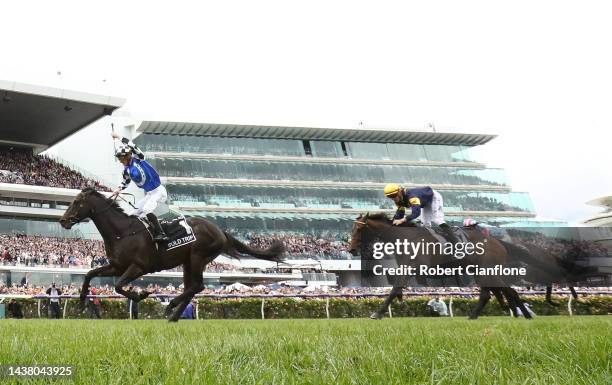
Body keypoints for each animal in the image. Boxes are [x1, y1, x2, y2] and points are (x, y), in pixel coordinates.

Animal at [59, 188, 284, 320]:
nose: (63, 221)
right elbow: (90, 274)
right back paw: (174, 315)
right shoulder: (117, 266)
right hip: (188, 262)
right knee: (192, 287)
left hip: (198, 257)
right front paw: (81, 302)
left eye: (77, 202)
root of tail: (219, 230)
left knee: (197, 285)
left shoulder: (139, 267)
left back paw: (171, 307)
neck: (122, 232)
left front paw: (141, 294)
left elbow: (118, 286)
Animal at [350, 213, 532, 318]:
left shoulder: (412, 268)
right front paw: (402, 303)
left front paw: (378, 313)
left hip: (486, 271)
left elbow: (395, 289)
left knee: (499, 291)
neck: (406, 237)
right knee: (499, 291)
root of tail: (499, 242)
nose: (351, 249)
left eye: (358, 230)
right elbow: (397, 289)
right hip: (483, 271)